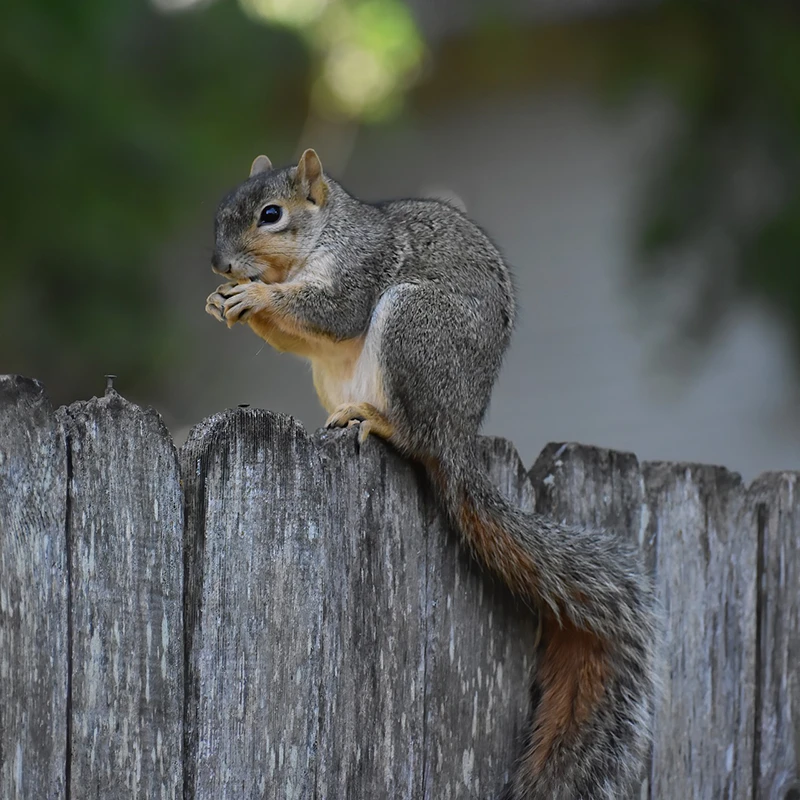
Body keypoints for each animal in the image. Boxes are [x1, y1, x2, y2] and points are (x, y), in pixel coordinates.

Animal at [206, 150, 656, 800]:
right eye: (223, 208)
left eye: (271, 214)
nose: (220, 265)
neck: (322, 237)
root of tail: (457, 437)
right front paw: (225, 299)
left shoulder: (362, 268)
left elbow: (335, 312)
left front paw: (256, 296)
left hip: (414, 326)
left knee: (414, 437)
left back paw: (378, 422)